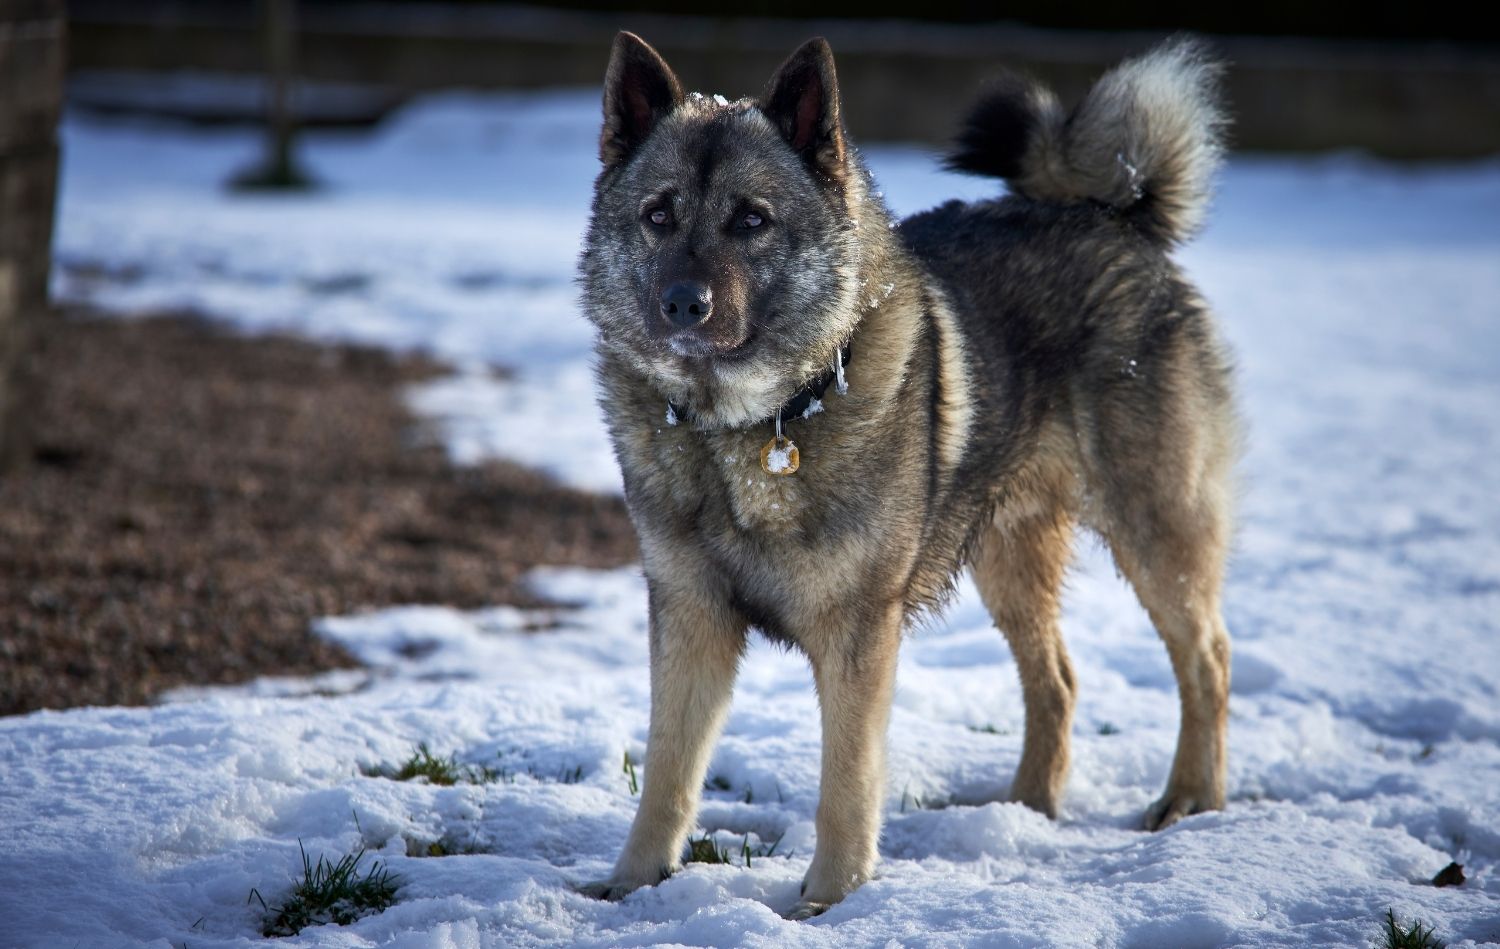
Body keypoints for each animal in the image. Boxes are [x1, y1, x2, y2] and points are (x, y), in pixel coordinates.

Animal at [573, 33, 1230, 911]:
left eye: (752, 220)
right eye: (658, 215)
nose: (683, 303)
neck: (748, 426)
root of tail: (1107, 214)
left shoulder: (858, 633)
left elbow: (846, 782)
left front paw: (829, 898)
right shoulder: (689, 615)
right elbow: (668, 771)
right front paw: (633, 883)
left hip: (1156, 531)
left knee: (1206, 661)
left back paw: (1192, 799)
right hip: (1008, 557)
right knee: (1056, 678)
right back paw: (1026, 808)